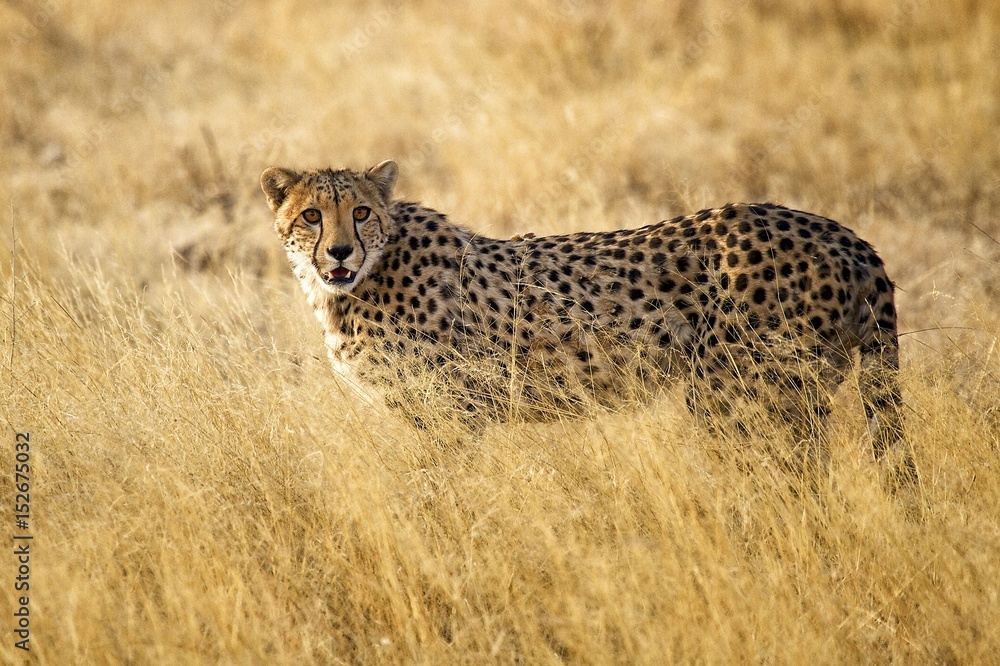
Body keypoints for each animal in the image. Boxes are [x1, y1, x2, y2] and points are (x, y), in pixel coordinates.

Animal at [261, 160, 915, 483]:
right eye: (312, 215)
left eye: (361, 212)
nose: (339, 252)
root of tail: (842, 233)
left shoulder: (452, 415)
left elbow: (436, 491)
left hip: (739, 395)